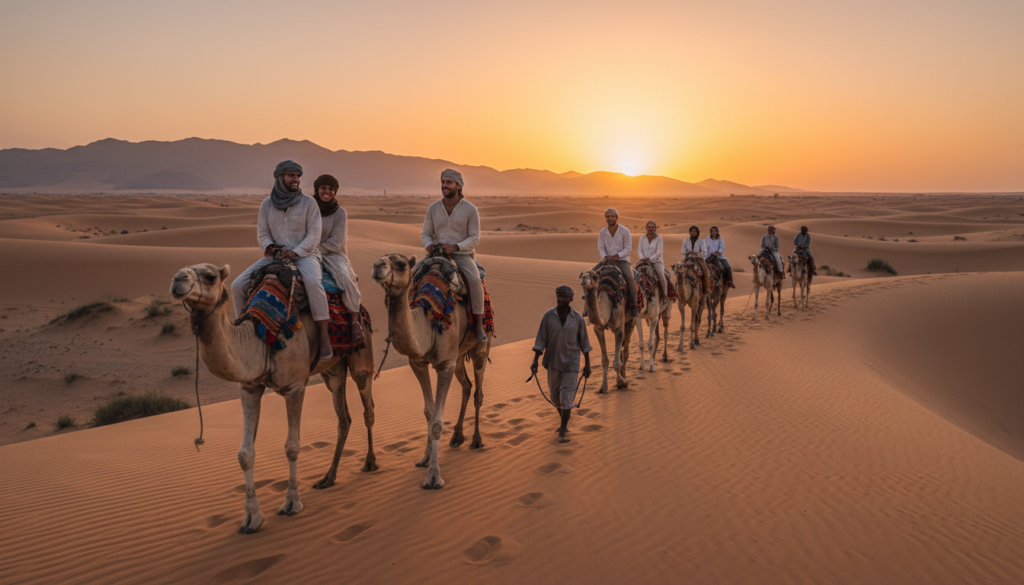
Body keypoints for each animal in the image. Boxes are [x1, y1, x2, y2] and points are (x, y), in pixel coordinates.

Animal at [169, 263, 377, 534]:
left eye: (210, 276)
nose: (177, 280)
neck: (262, 339)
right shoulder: (248, 388)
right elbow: (245, 454)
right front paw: (251, 518)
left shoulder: (295, 387)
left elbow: (292, 447)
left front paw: (291, 503)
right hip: (333, 370)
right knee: (344, 417)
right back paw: (328, 478)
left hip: (362, 355)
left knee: (367, 406)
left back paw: (370, 463)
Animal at [371, 252, 492, 490]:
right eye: (380, 258)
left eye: (401, 264)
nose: (377, 266)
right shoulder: (418, 362)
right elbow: (428, 412)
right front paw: (425, 459)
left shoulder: (444, 364)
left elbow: (436, 421)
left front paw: (434, 477)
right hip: (457, 356)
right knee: (467, 386)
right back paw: (457, 437)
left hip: (481, 346)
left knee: (478, 391)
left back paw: (476, 440)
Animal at [579, 263, 636, 392]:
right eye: (582, 275)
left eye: (595, 277)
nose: (584, 278)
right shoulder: (598, 329)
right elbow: (604, 361)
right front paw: (603, 388)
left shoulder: (619, 329)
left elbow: (617, 363)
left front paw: (622, 383)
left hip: (632, 319)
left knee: (625, 350)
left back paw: (624, 377)